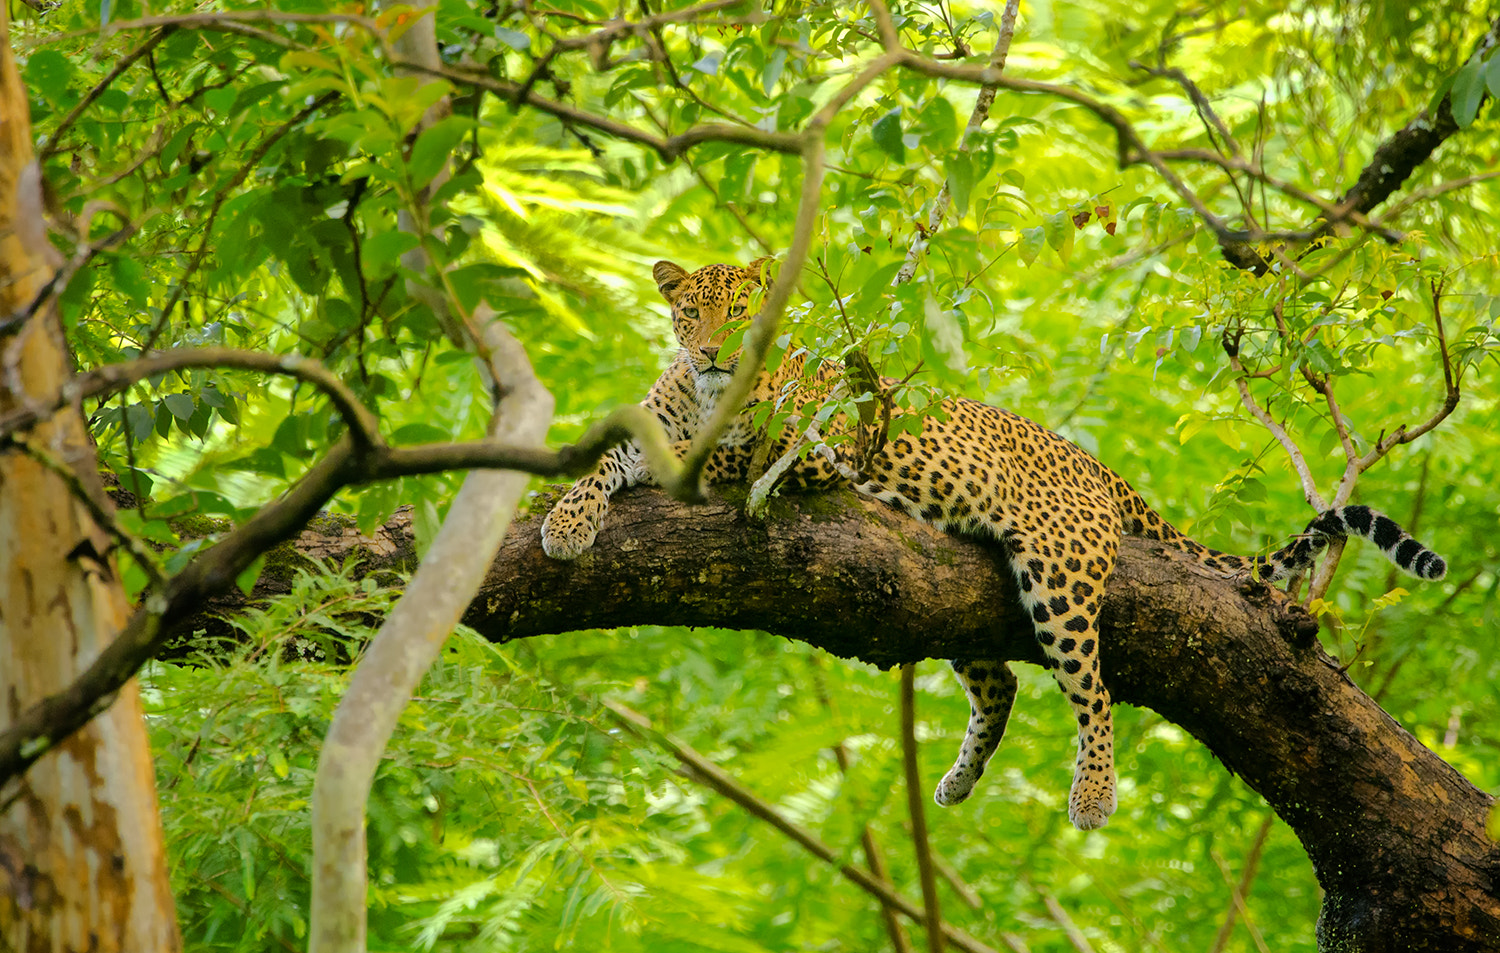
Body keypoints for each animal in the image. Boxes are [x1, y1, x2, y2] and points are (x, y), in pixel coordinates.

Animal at [540, 256, 1440, 834]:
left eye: (740, 314)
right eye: (692, 313)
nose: (712, 352)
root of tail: (1093, 463)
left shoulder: (798, 453)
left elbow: (718, 457)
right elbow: (609, 462)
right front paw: (564, 516)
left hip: (1058, 573)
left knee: (1092, 689)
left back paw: (1093, 796)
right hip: (944, 599)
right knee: (999, 680)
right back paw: (960, 778)